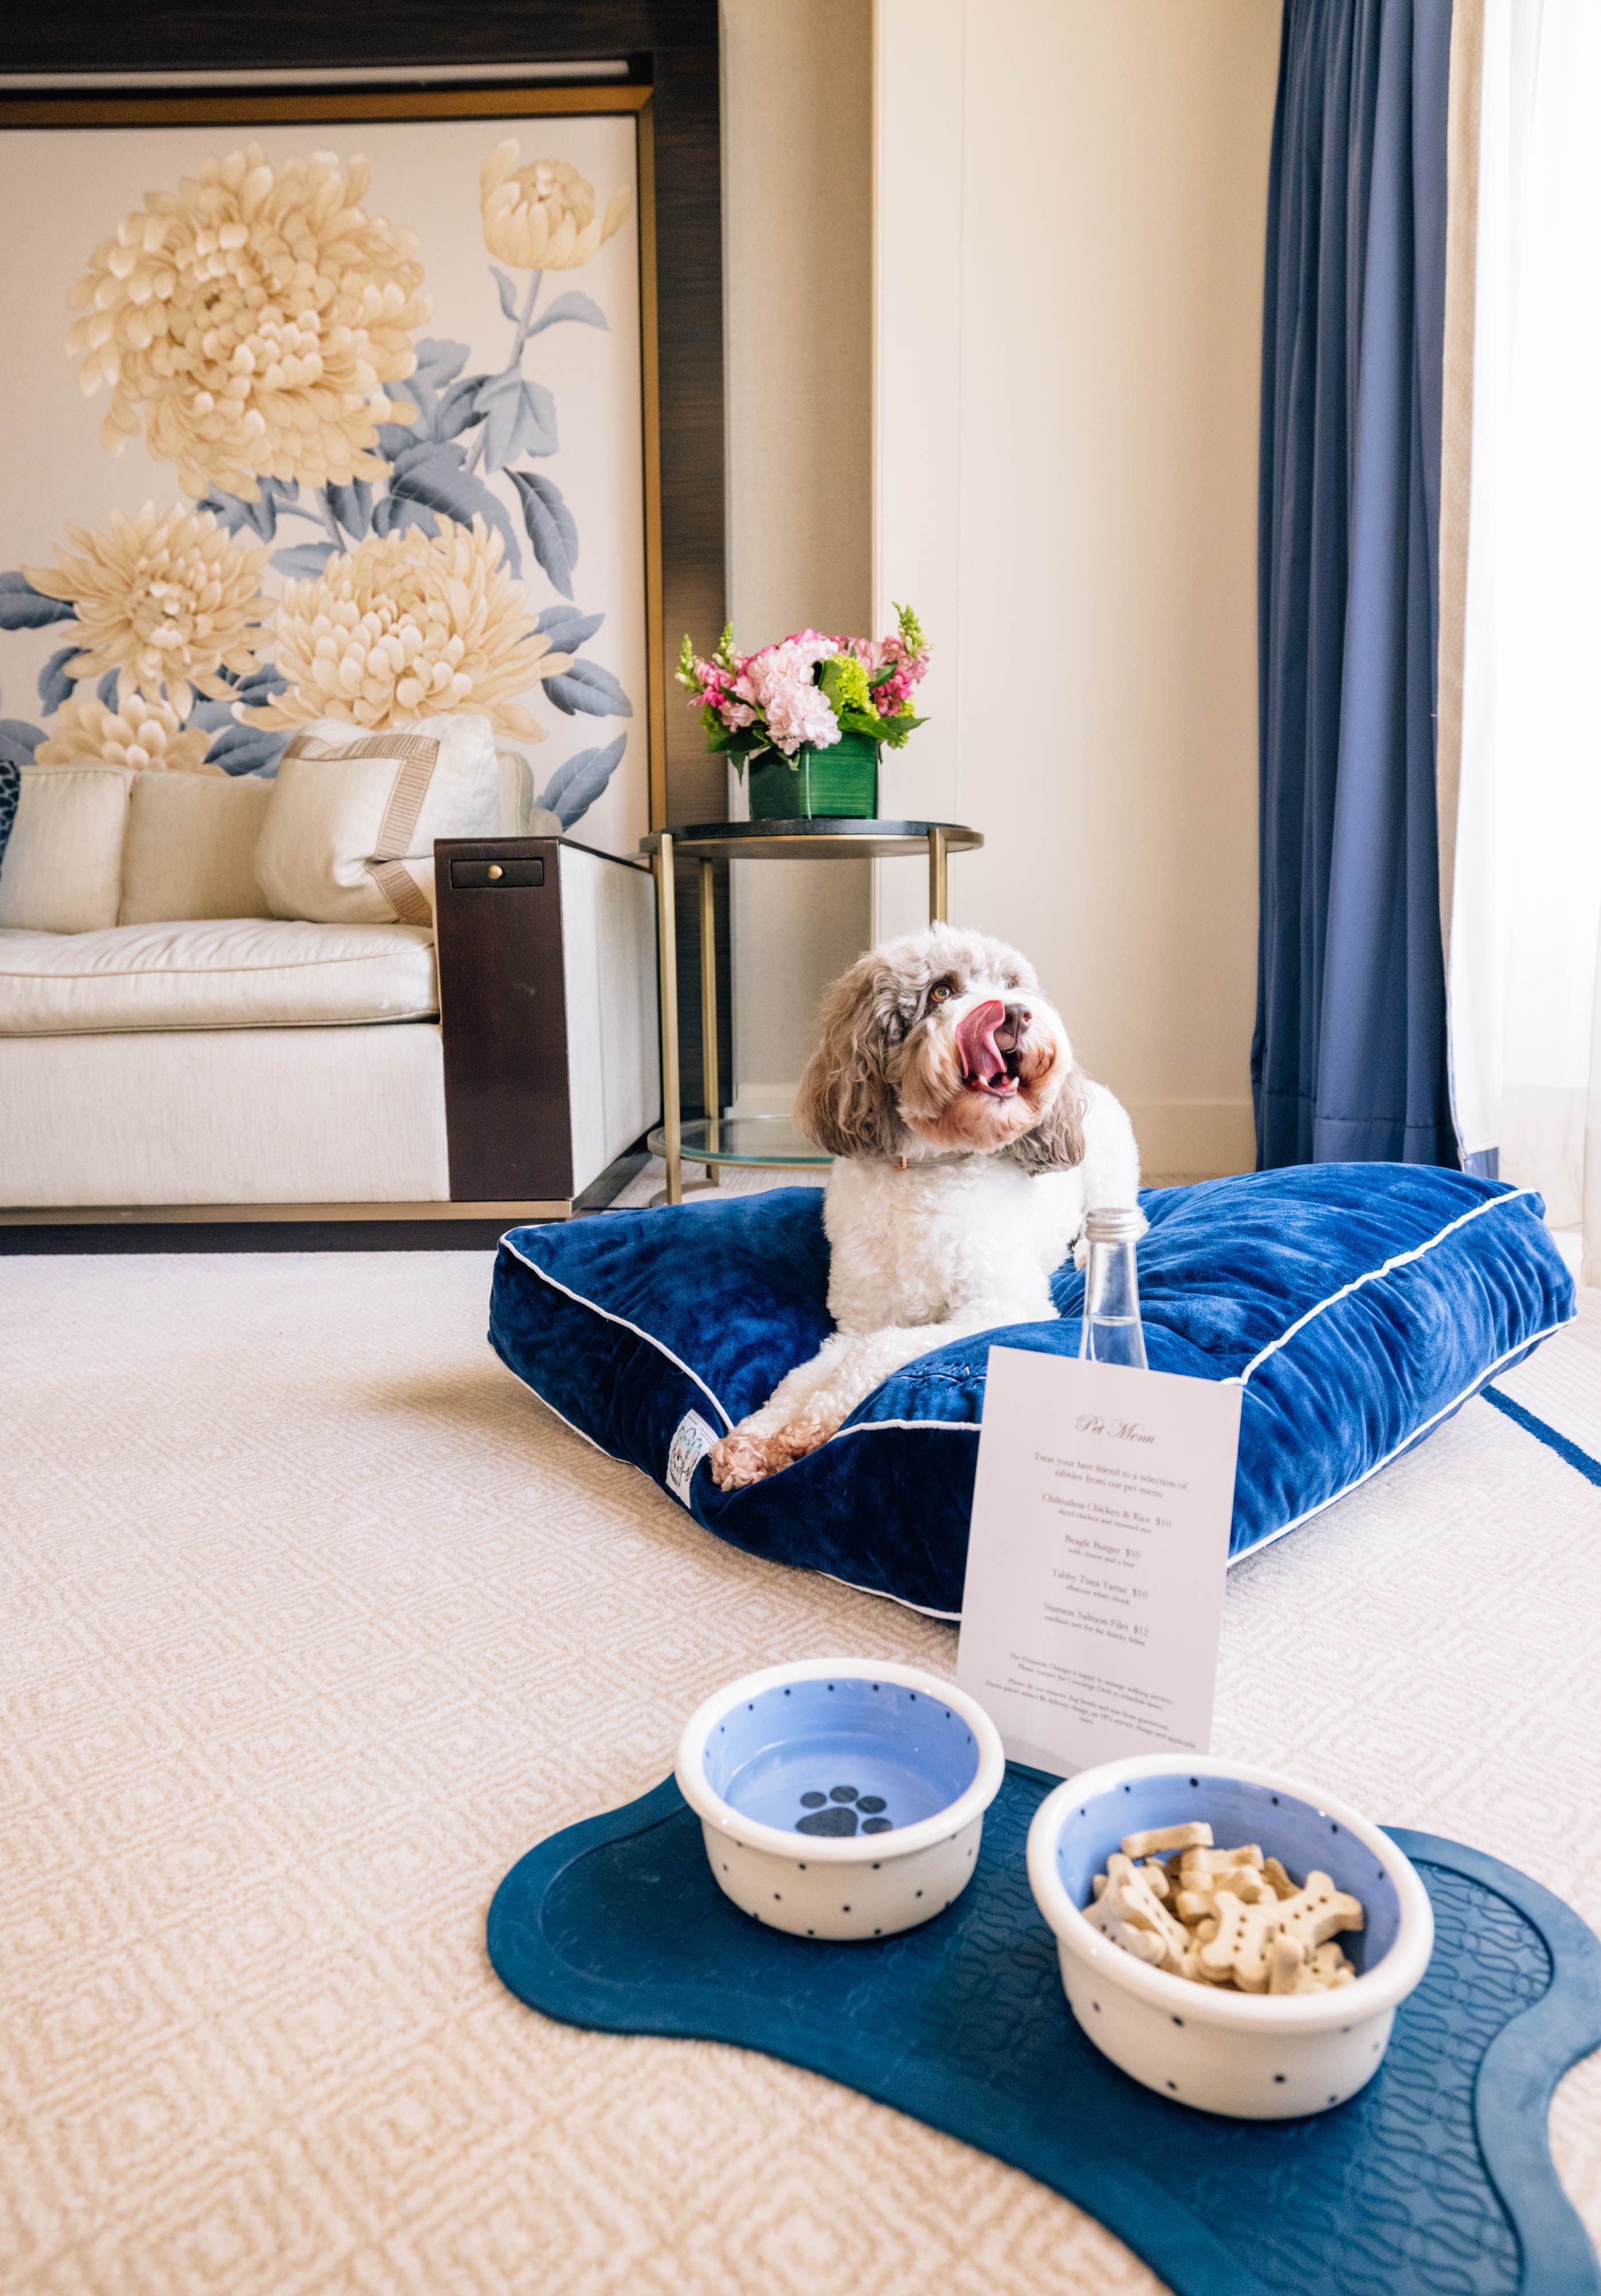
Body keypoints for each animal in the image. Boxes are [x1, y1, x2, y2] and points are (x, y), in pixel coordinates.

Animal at [709, 923, 1141, 1489]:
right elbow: (803, 1376)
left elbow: (879, 1351)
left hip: (1110, 1171)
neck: (926, 1167)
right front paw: (755, 1438)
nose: (1016, 1014)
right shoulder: (858, 1321)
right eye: (942, 990)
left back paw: (1094, 1253)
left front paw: (804, 1432)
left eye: (1013, 985)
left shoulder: (1000, 1306)